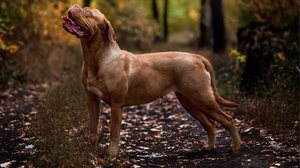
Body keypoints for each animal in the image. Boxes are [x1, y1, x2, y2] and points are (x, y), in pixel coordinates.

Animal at [61, 3, 241, 156]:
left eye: (88, 12)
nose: (75, 4)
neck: (96, 58)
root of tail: (197, 57)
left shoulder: (116, 105)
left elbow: (114, 131)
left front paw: (112, 153)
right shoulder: (91, 99)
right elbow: (93, 126)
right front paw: (90, 148)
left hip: (202, 98)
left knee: (228, 120)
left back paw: (236, 147)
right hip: (189, 101)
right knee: (210, 124)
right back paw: (210, 147)